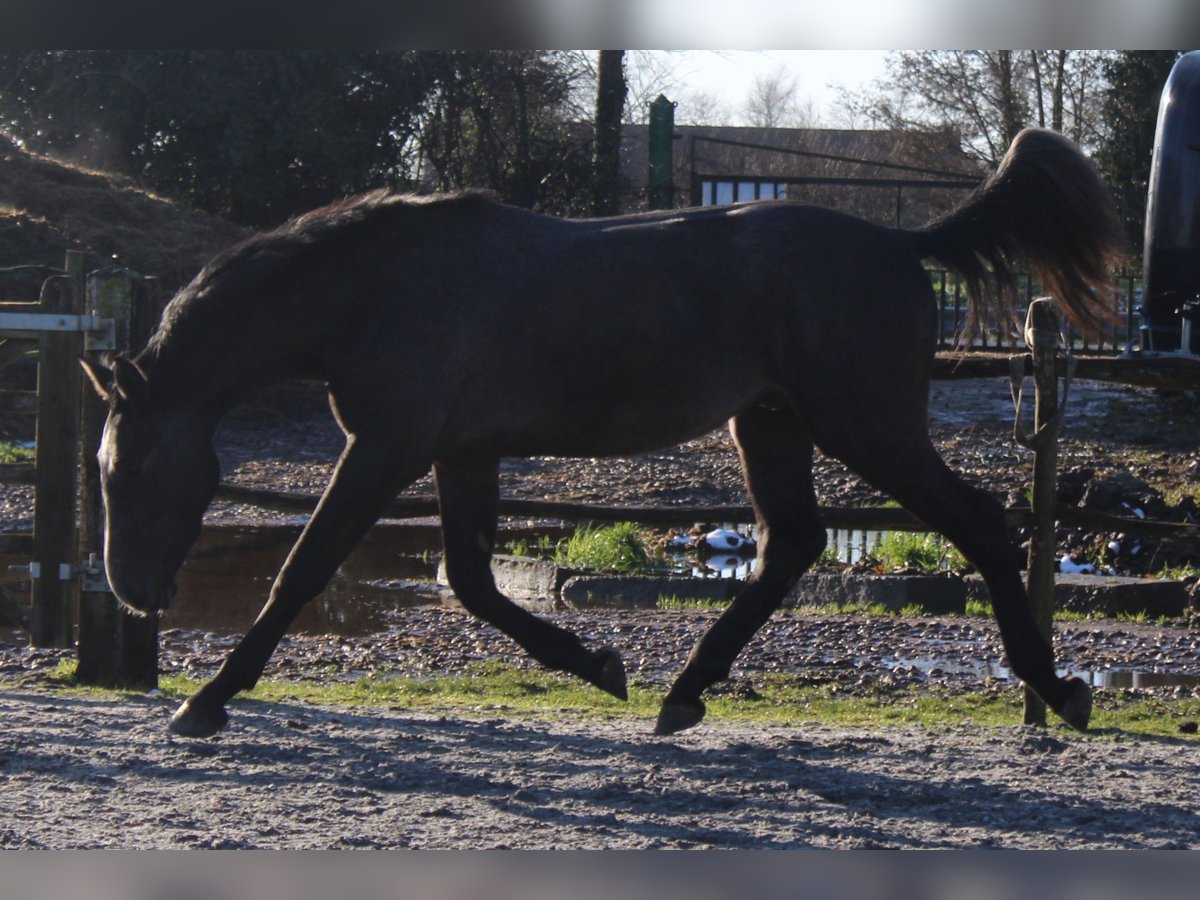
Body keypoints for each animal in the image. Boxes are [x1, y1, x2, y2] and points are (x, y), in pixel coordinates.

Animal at [84, 127, 1123, 739]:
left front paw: (205, 701)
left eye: (125, 471)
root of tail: (903, 243)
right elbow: (470, 581)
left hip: (864, 425)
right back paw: (681, 692)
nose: (133, 595)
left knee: (976, 521)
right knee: (792, 543)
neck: (373, 287)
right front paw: (599, 665)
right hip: (771, 423)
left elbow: (302, 570)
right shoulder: (461, 451)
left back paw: (1058, 689)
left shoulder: (385, 449)